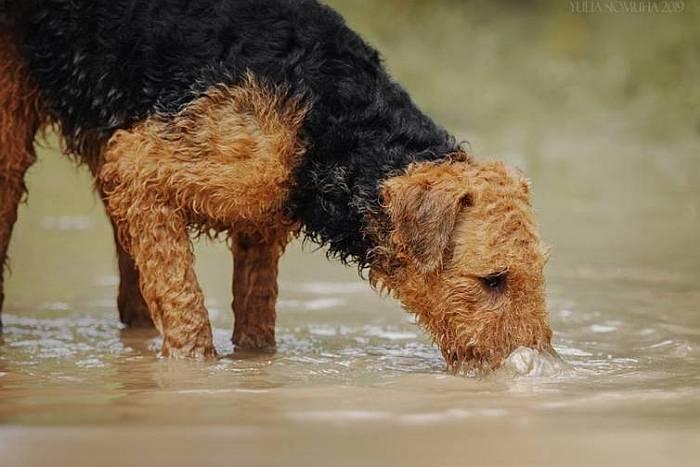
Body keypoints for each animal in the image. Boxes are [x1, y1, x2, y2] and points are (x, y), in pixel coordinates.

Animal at [1, 0, 552, 372]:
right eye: (493, 279)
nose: (539, 365)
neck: (328, 124)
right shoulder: (139, 164)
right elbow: (186, 310)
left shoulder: (260, 222)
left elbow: (256, 322)